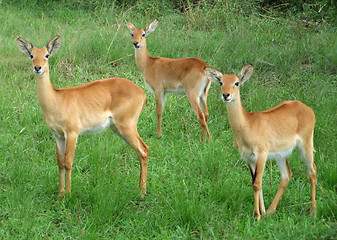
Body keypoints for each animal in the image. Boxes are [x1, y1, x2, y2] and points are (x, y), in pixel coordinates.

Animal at [17, 35, 148, 199]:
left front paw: (68, 195)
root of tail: (142, 93)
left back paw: (142, 193)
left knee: (144, 150)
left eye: (46, 55)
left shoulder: (72, 133)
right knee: (141, 151)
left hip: (127, 126)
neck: (56, 100)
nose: (37, 67)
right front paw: (60, 195)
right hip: (117, 129)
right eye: (31, 55)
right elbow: (59, 162)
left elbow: (68, 162)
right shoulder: (58, 135)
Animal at [203, 64, 316, 221]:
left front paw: (256, 216)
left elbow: (257, 183)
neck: (246, 126)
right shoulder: (248, 158)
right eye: (221, 82)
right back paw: (270, 211)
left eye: (236, 82)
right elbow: (255, 182)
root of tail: (307, 108)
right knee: (286, 175)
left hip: (305, 145)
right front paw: (261, 212)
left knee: (312, 171)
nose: (226, 95)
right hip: (281, 155)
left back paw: (312, 211)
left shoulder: (261, 155)